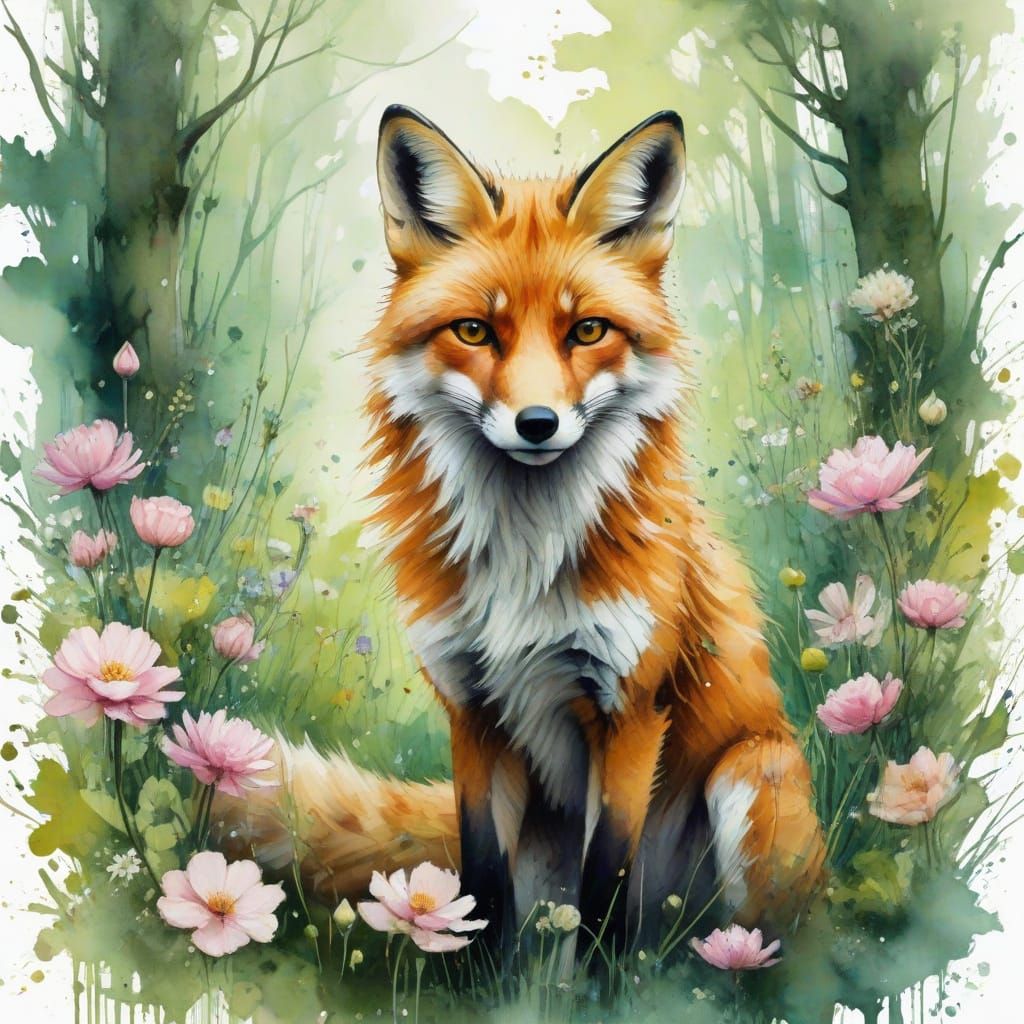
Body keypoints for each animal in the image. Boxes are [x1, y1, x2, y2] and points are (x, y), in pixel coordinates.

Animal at [218, 105, 825, 952]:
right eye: (476, 331)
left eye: (588, 331)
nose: (537, 424)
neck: (525, 558)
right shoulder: (472, 708)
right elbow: (478, 886)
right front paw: (469, 969)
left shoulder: (630, 711)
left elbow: (606, 894)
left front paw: (604, 978)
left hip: (752, 774)